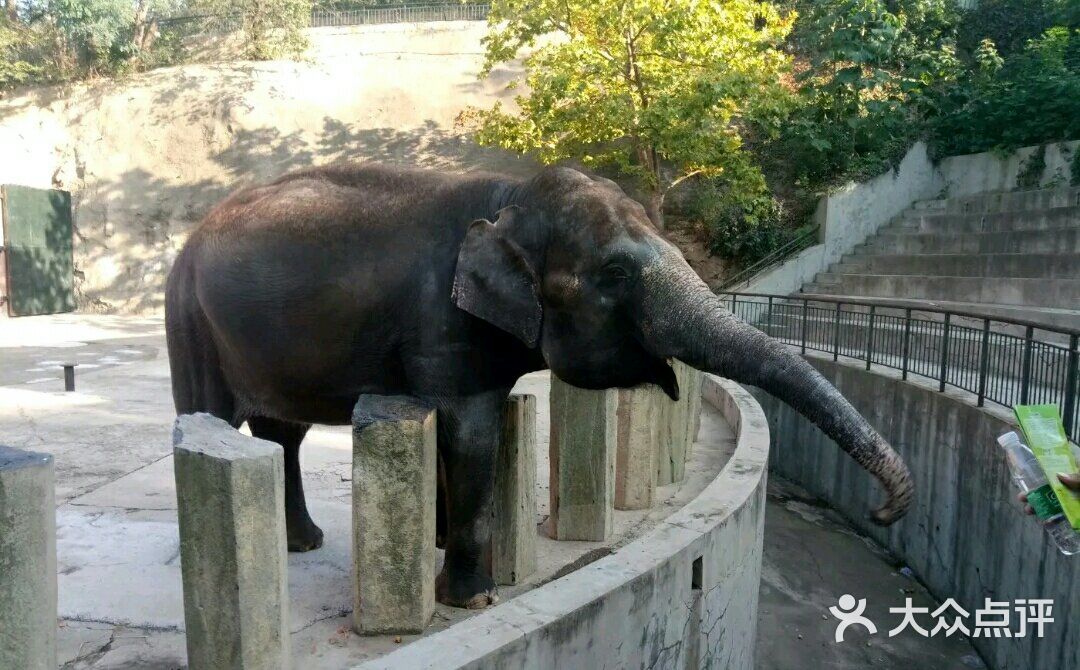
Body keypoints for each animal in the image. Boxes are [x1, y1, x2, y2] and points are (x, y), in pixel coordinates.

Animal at [166, 161, 911, 605]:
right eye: (615, 274)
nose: (886, 513)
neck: (507, 194)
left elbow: (475, 431)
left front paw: (449, 556)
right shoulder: (442, 322)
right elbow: (468, 434)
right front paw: (471, 597)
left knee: (280, 436)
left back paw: (305, 544)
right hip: (189, 320)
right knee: (210, 419)